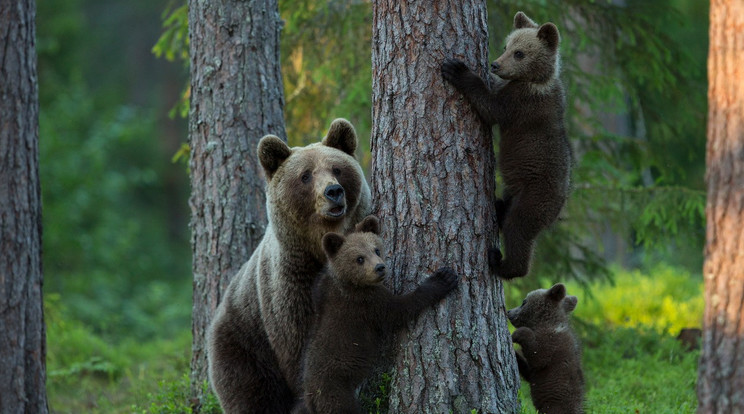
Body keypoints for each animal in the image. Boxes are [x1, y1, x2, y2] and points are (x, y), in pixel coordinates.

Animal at [206, 119, 372, 414]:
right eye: (305, 176)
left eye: (337, 168)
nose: (333, 192)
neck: (318, 247)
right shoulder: (290, 284)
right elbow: (299, 344)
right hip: (244, 344)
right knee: (250, 394)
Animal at [292, 215, 456, 412]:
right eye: (359, 258)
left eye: (376, 249)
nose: (380, 267)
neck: (349, 281)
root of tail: (311, 397)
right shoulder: (366, 303)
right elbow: (399, 310)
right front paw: (443, 279)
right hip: (335, 391)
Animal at [442, 11, 568, 280]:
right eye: (505, 46)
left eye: (519, 53)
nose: (495, 64)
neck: (535, 80)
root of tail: (560, 206)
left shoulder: (520, 104)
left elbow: (490, 107)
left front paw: (457, 69)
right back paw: (498, 207)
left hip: (534, 197)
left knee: (518, 230)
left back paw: (501, 263)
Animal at [508, 284, 584, 412]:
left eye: (524, 301)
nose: (509, 311)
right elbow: (528, 369)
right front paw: (516, 356)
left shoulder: (552, 344)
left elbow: (538, 358)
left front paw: (516, 334)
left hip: (555, 406)